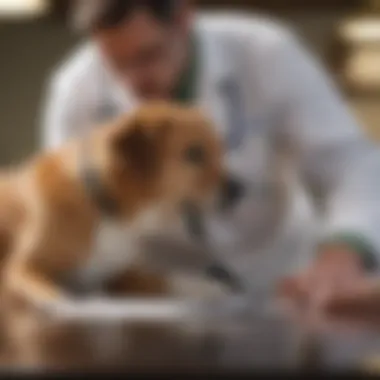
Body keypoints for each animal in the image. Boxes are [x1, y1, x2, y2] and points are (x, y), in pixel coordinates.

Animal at [0, 101, 229, 312]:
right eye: (194, 153)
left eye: (220, 151)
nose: (235, 189)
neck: (106, 211)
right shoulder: (24, 268)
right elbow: (60, 298)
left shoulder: (123, 272)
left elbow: (168, 279)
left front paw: (211, 287)